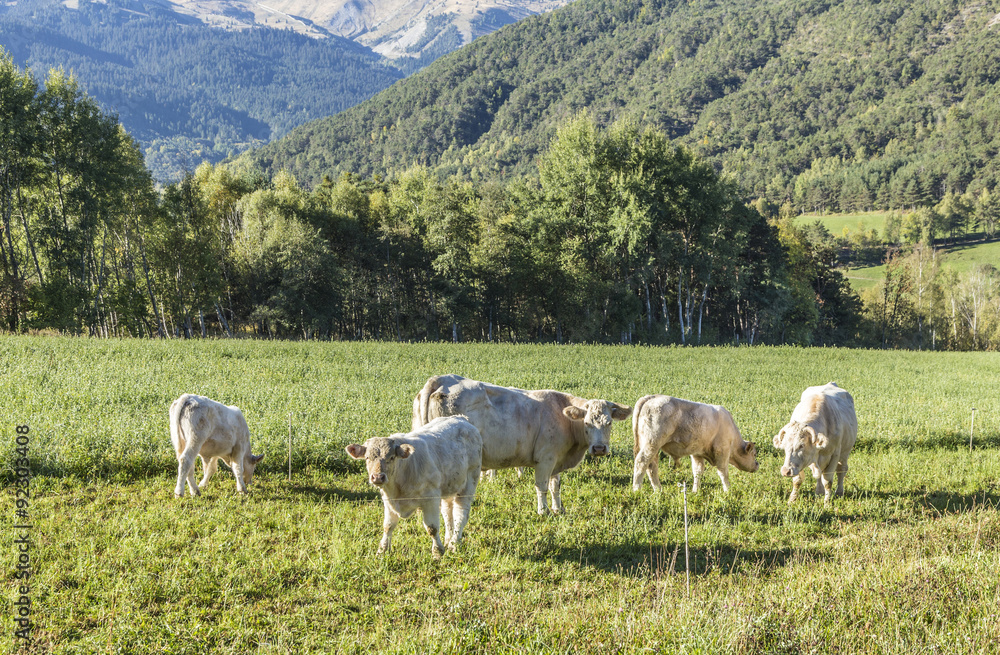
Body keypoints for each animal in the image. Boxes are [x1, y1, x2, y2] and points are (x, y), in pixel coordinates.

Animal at [346, 415, 482, 558]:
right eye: (367, 458)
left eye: (392, 457)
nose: (378, 477)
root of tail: (461, 419)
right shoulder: (388, 501)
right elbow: (388, 526)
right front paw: (382, 550)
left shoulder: (431, 499)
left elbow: (432, 528)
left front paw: (437, 552)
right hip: (449, 486)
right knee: (447, 513)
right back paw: (448, 540)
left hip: (469, 482)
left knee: (460, 514)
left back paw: (454, 544)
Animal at [412, 374, 632, 515]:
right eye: (586, 423)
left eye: (609, 423)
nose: (599, 448)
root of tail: (442, 379)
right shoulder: (545, 459)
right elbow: (542, 486)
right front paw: (543, 511)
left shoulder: (556, 458)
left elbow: (556, 486)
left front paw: (558, 508)